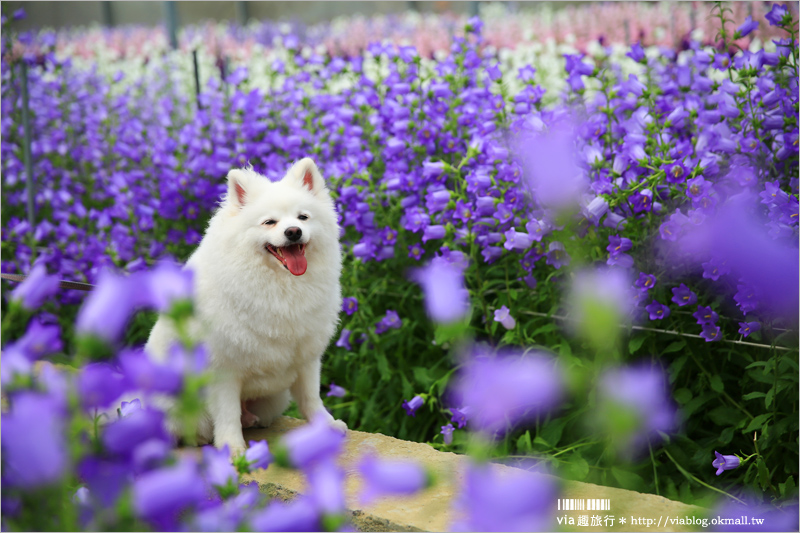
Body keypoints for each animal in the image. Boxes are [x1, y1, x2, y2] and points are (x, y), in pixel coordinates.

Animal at [145, 157, 346, 454]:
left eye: (303, 217)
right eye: (269, 222)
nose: (293, 232)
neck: (280, 285)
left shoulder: (306, 357)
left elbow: (311, 398)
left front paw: (327, 425)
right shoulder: (222, 368)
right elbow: (227, 413)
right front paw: (233, 448)